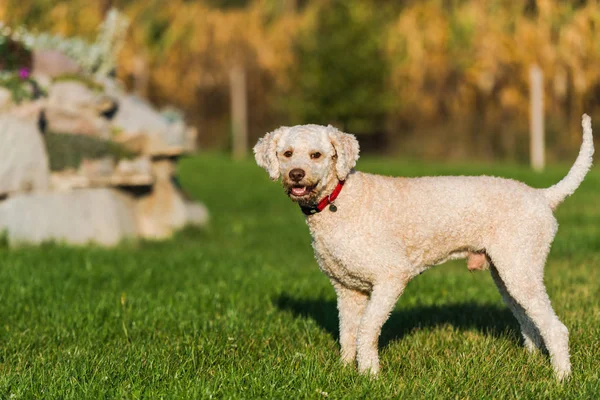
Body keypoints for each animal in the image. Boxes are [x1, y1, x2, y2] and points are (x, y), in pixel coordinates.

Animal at [251, 114, 592, 380]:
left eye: (317, 155)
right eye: (287, 153)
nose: (296, 174)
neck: (340, 198)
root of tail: (543, 196)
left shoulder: (390, 278)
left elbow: (366, 330)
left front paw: (370, 374)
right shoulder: (348, 290)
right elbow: (347, 333)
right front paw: (347, 371)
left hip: (520, 269)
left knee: (556, 328)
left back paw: (561, 378)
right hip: (508, 274)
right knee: (531, 323)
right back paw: (534, 362)